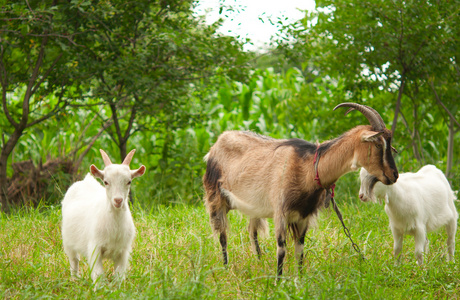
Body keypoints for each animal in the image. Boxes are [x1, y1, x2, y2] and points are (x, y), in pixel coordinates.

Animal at [60, 149, 144, 282]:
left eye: (129, 181)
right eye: (106, 182)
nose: (118, 200)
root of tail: (86, 180)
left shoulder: (123, 251)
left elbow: (119, 275)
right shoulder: (95, 248)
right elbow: (98, 274)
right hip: (68, 240)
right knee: (74, 260)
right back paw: (75, 279)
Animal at [203, 103, 398, 276]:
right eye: (378, 145)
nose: (394, 175)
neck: (309, 167)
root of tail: (216, 144)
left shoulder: (304, 215)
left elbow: (300, 250)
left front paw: (300, 280)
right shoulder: (281, 212)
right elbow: (281, 249)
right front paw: (278, 283)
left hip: (253, 207)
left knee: (252, 232)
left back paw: (259, 262)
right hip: (216, 197)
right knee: (222, 235)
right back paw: (226, 269)